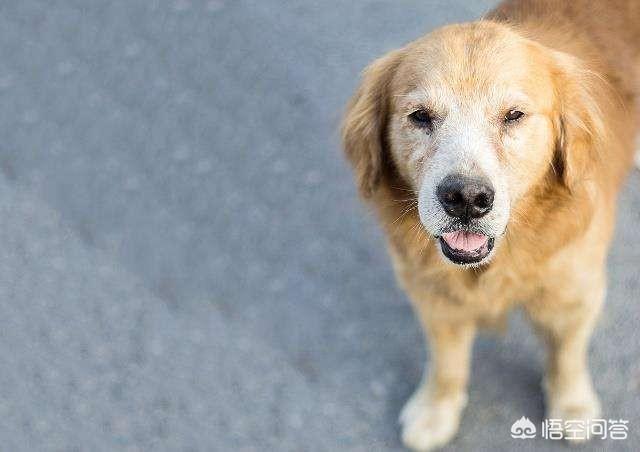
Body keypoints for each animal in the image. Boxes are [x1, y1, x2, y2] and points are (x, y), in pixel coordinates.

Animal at [342, 0, 636, 450]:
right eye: (420, 116)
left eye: (514, 116)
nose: (466, 198)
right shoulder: (433, 296)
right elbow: (447, 363)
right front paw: (436, 409)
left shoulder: (576, 291)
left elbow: (567, 354)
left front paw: (572, 406)